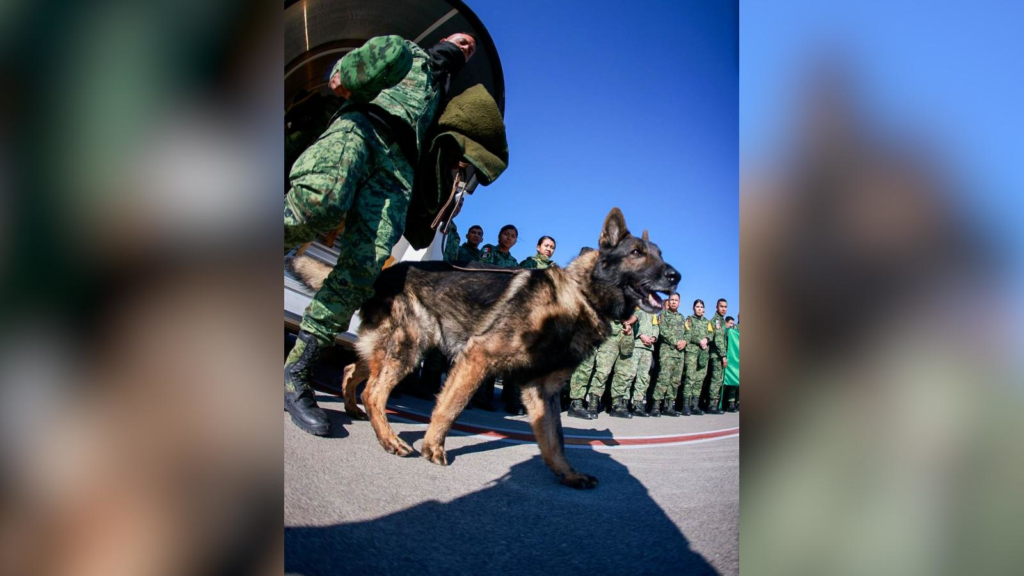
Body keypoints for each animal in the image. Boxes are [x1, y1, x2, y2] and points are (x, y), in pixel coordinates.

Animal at [288, 208, 679, 485]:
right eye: (637, 252)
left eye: (660, 254)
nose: (675, 276)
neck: (581, 295)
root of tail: (383, 273)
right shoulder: (478, 358)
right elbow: (450, 408)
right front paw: (433, 447)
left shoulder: (542, 391)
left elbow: (555, 439)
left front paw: (567, 474)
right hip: (409, 348)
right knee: (374, 391)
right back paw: (388, 438)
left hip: (395, 348)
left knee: (353, 368)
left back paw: (354, 409)